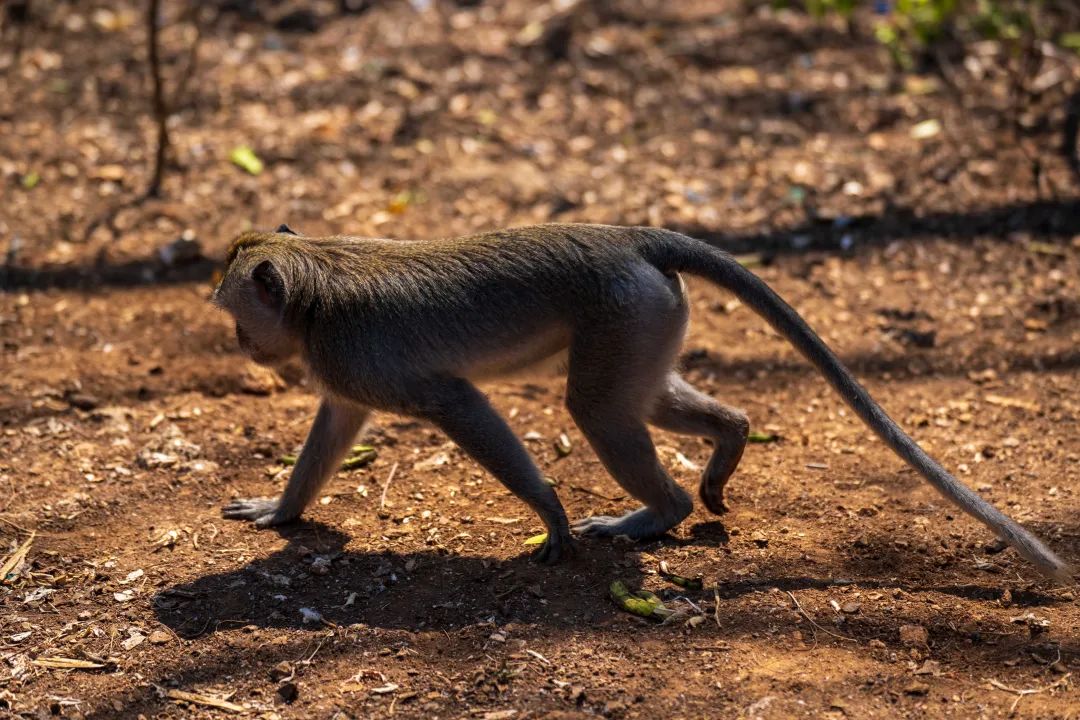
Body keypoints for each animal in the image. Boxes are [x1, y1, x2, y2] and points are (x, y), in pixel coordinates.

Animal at [210, 222, 1071, 582]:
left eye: (234, 316)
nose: (244, 347)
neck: (315, 288)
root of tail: (627, 236)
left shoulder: (363, 359)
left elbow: (458, 403)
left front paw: (551, 517)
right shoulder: (343, 371)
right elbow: (337, 422)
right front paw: (282, 512)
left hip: (625, 310)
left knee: (596, 409)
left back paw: (661, 513)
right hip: (651, 317)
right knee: (639, 400)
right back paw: (728, 443)